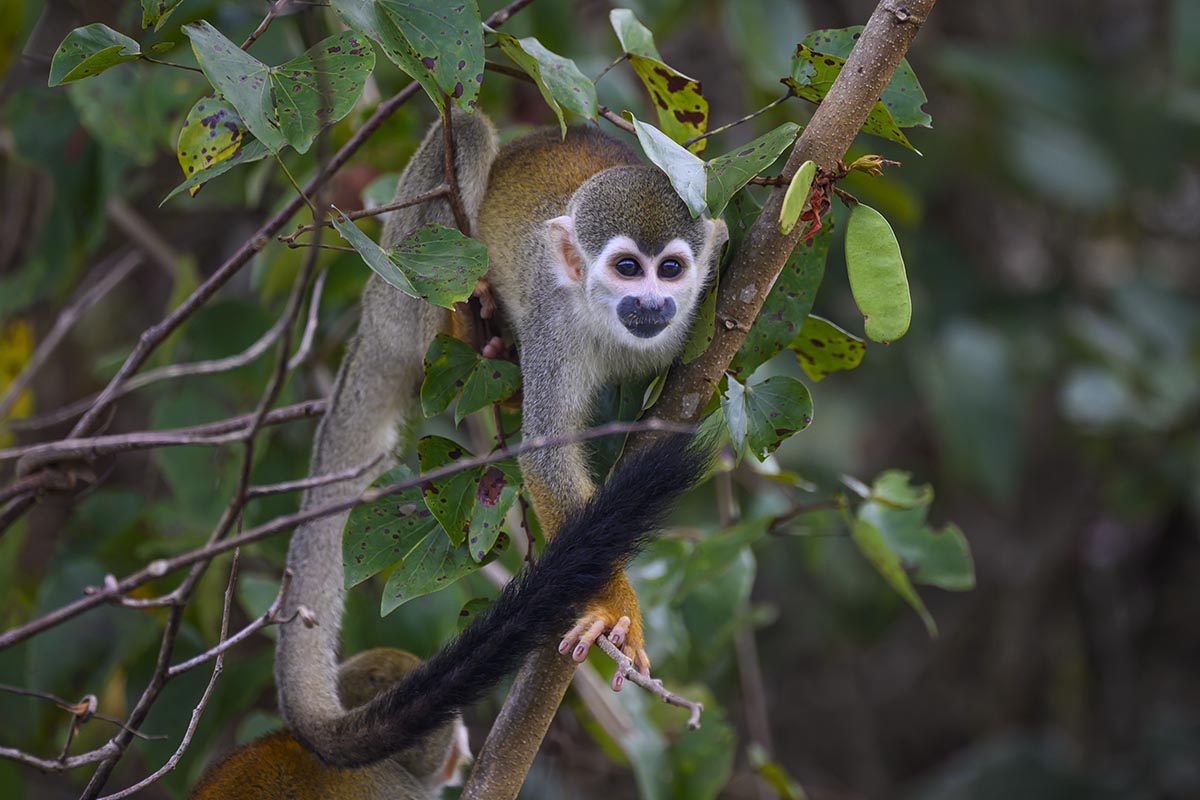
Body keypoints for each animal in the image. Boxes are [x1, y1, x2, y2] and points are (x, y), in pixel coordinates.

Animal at [193, 107, 724, 790]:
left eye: (673, 269)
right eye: (628, 269)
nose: (653, 302)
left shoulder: (698, 311)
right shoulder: (557, 323)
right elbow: (545, 455)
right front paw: (614, 606)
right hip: (397, 292)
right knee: (466, 132)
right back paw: (468, 324)